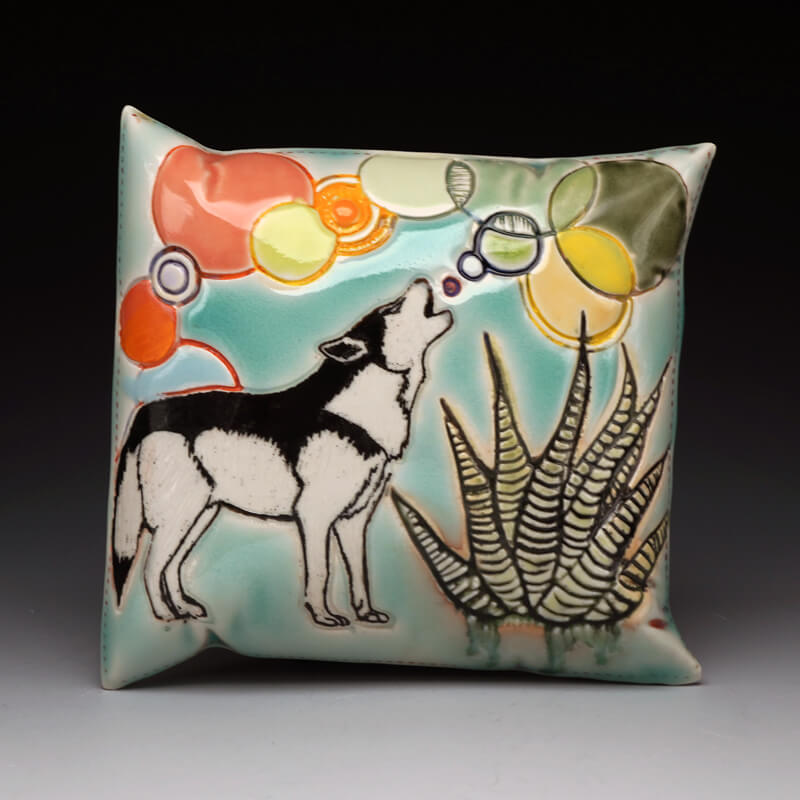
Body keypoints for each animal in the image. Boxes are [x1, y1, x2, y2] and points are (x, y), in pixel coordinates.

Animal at [111, 277, 453, 627]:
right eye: (391, 308)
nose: (421, 279)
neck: (355, 413)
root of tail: (145, 412)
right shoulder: (315, 517)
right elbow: (321, 572)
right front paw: (323, 616)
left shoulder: (355, 521)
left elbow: (359, 574)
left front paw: (366, 614)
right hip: (179, 517)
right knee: (152, 567)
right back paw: (165, 614)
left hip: (198, 517)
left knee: (172, 566)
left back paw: (184, 609)